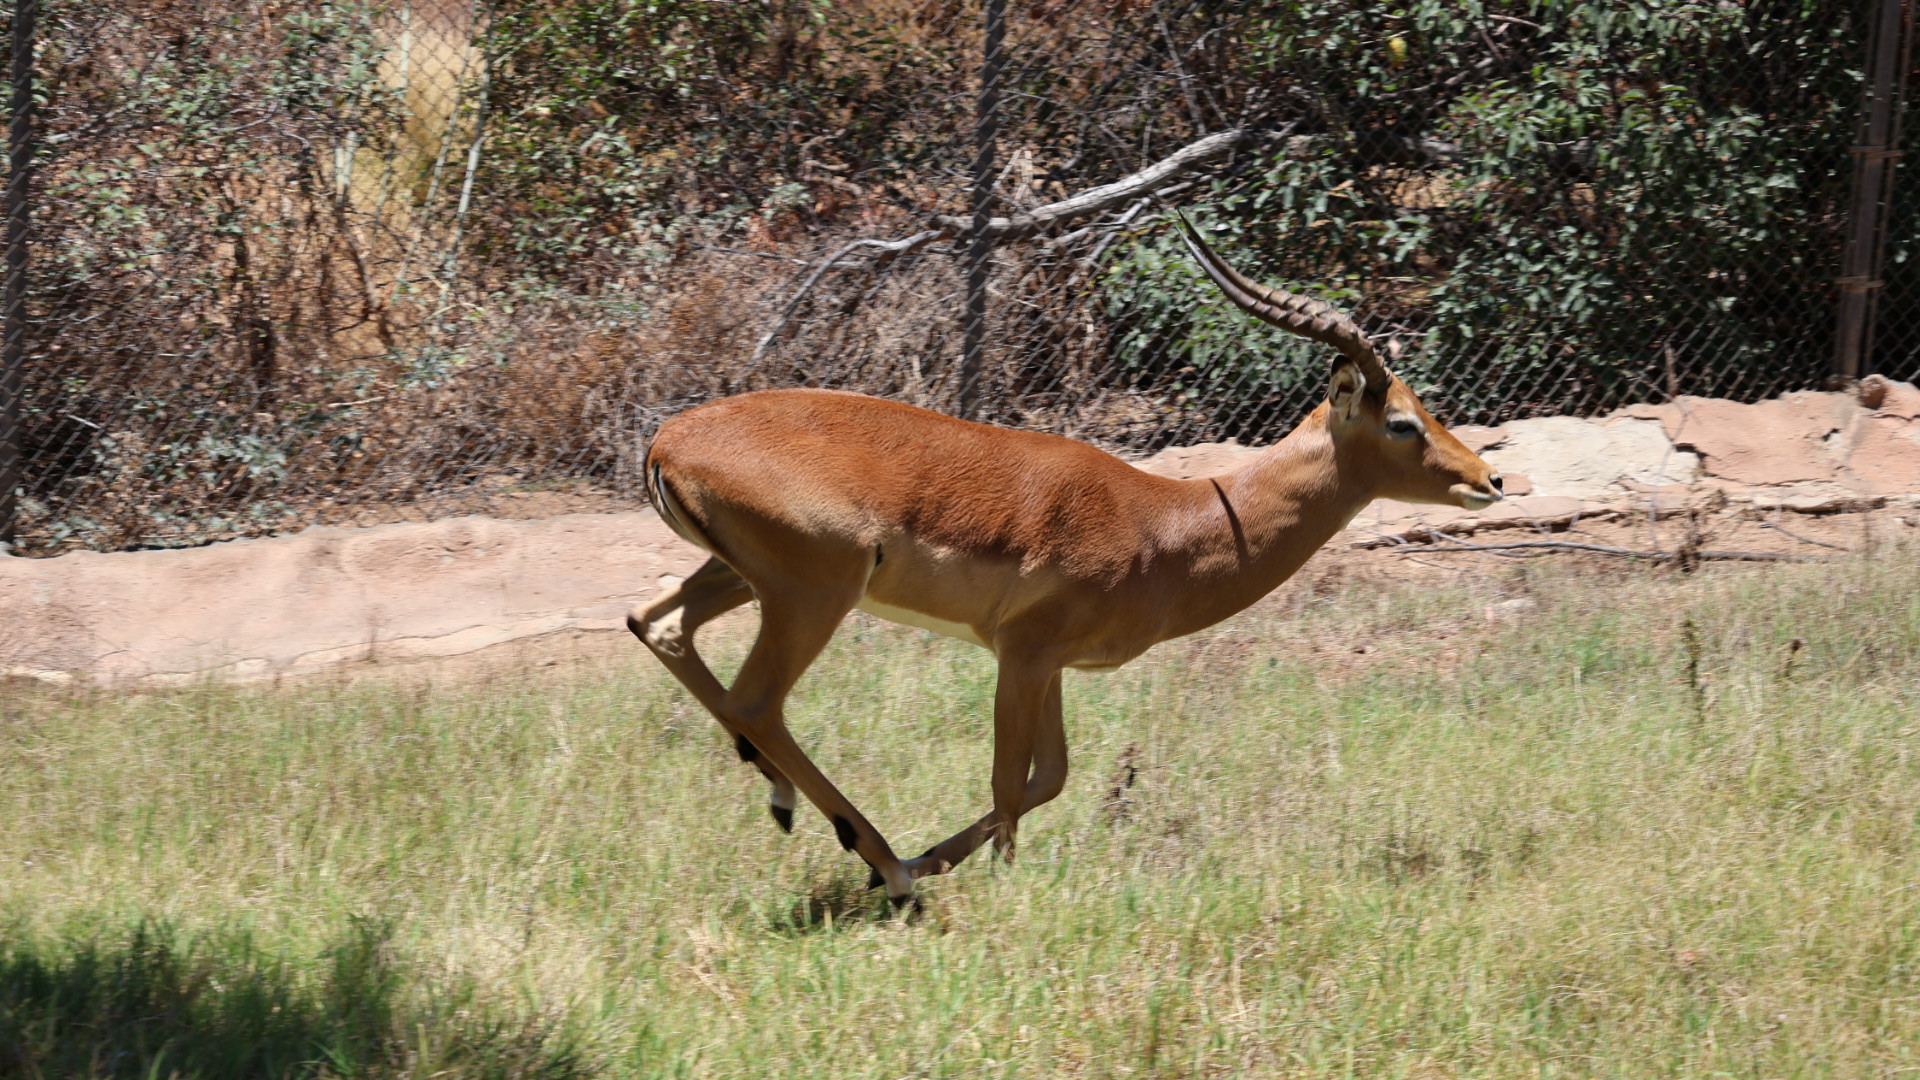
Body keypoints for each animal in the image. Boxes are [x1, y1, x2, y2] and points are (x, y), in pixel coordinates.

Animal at [629, 216, 1503, 906]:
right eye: (1401, 421)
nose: (1489, 480)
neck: (1166, 523)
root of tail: (668, 441)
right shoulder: (1021, 653)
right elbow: (1009, 776)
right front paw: (987, 882)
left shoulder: (1047, 663)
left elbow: (1049, 775)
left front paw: (939, 859)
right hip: (813, 594)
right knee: (753, 700)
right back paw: (886, 866)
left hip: (741, 578)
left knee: (657, 626)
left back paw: (835, 830)